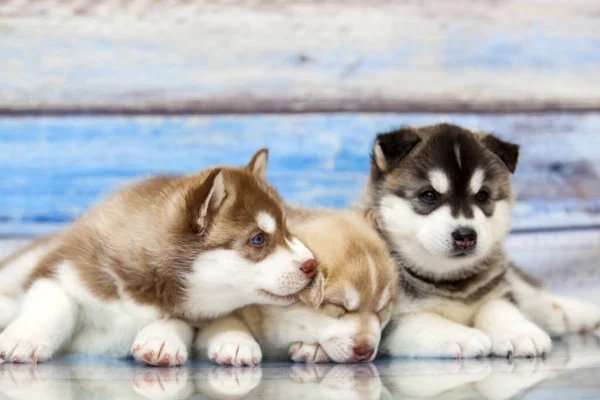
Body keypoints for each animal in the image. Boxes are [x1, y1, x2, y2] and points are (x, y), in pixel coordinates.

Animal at [0, 149, 316, 366]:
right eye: (258, 239)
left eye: (287, 230)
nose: (312, 265)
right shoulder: (65, 267)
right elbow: (53, 303)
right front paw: (23, 338)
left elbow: (182, 320)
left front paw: (163, 339)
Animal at [195, 209, 396, 366]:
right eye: (339, 306)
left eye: (382, 310)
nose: (366, 351)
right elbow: (225, 318)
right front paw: (236, 342)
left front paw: (313, 347)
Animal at [356, 123, 596, 358]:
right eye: (429, 195)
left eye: (482, 196)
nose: (465, 236)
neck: (450, 281)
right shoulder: (387, 323)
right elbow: (421, 320)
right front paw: (462, 336)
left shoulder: (497, 288)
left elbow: (498, 306)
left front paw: (518, 331)